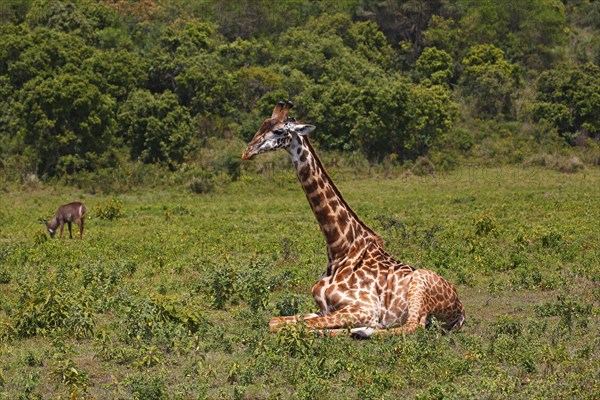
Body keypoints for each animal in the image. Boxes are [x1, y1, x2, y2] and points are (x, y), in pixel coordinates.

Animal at [241, 101, 466, 338]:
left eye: (278, 131)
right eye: (262, 124)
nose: (247, 152)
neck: (340, 249)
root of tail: (460, 309)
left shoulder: (365, 307)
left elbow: (298, 326)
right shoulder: (324, 308)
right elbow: (276, 321)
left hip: (419, 287)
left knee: (413, 326)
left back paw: (364, 330)